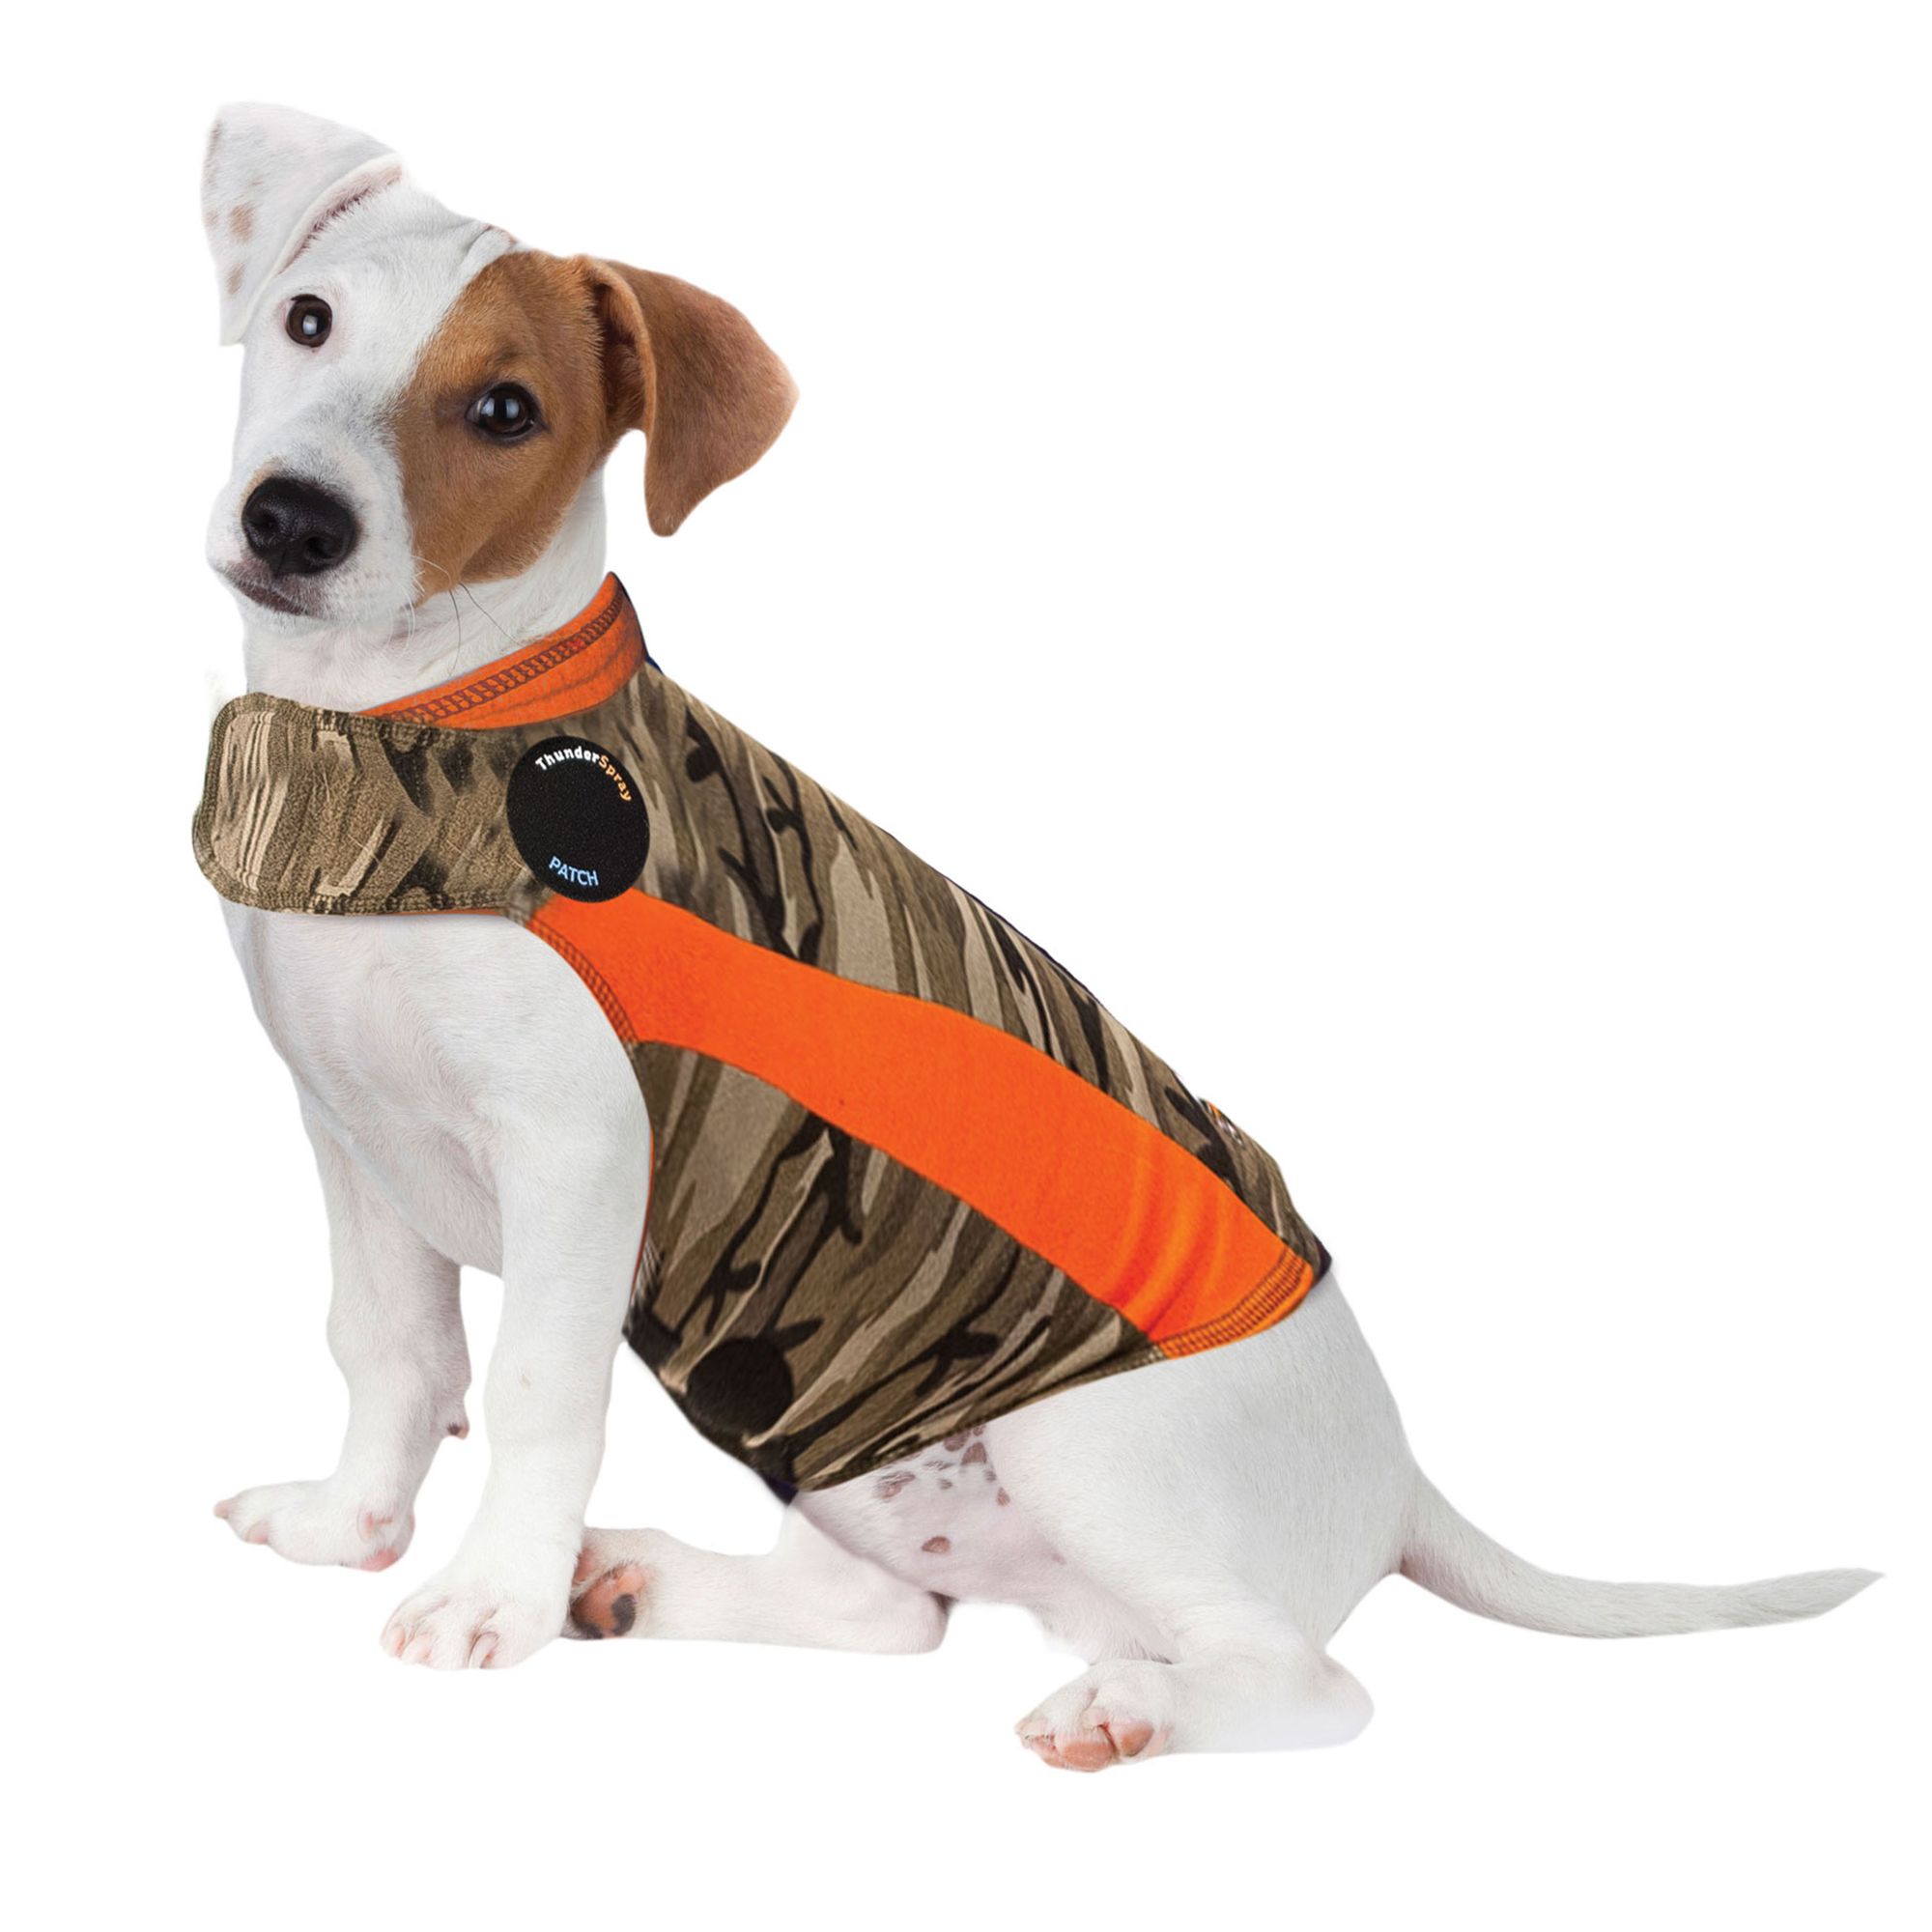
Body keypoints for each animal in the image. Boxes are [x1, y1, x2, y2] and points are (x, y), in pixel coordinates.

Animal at [198, 103, 1874, 1769]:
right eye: (307, 320)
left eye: (505, 409)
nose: (293, 520)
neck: (409, 727)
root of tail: (1401, 1477)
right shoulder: (351, 1137)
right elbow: (391, 1348)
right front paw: (352, 1526)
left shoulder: (579, 1157)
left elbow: (534, 1386)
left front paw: (491, 1601)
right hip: (841, 1437)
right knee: (895, 1615)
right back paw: (634, 1586)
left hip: (1083, 1444)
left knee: (1311, 1684)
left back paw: (1121, 1708)